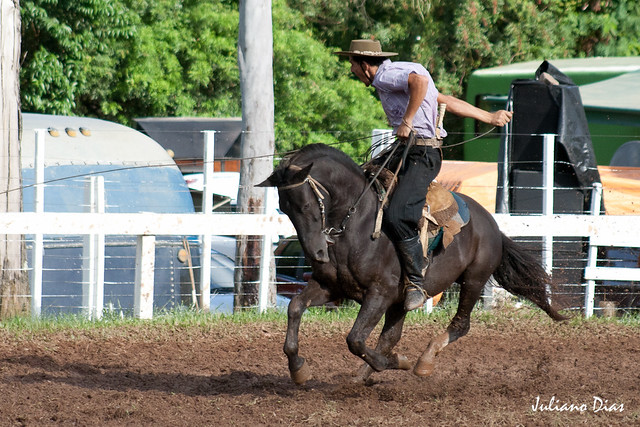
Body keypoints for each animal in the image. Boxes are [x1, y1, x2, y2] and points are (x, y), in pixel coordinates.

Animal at [258, 145, 564, 386]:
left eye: (306, 206)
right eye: (286, 209)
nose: (318, 253)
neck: (358, 225)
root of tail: (492, 225)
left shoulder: (379, 293)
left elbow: (355, 339)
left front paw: (398, 362)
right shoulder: (331, 287)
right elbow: (295, 307)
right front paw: (298, 369)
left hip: (474, 280)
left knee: (460, 325)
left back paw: (422, 362)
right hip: (401, 301)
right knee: (390, 336)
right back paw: (363, 375)